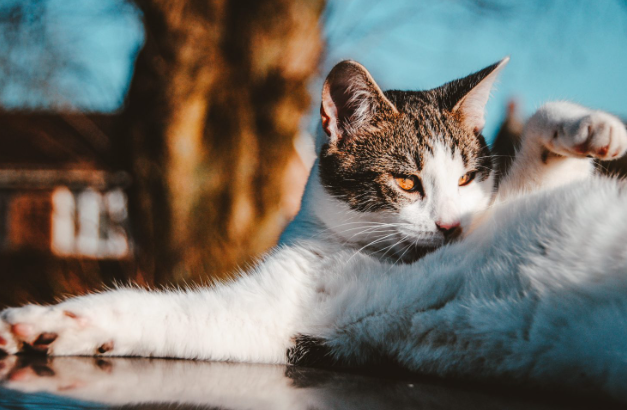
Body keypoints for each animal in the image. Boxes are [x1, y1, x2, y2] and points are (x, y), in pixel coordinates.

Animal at [1, 57, 627, 400]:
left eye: (468, 177)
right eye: (406, 182)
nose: (451, 227)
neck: (363, 250)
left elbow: (541, 156)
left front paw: (596, 129)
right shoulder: (275, 319)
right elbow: (148, 312)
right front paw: (47, 326)